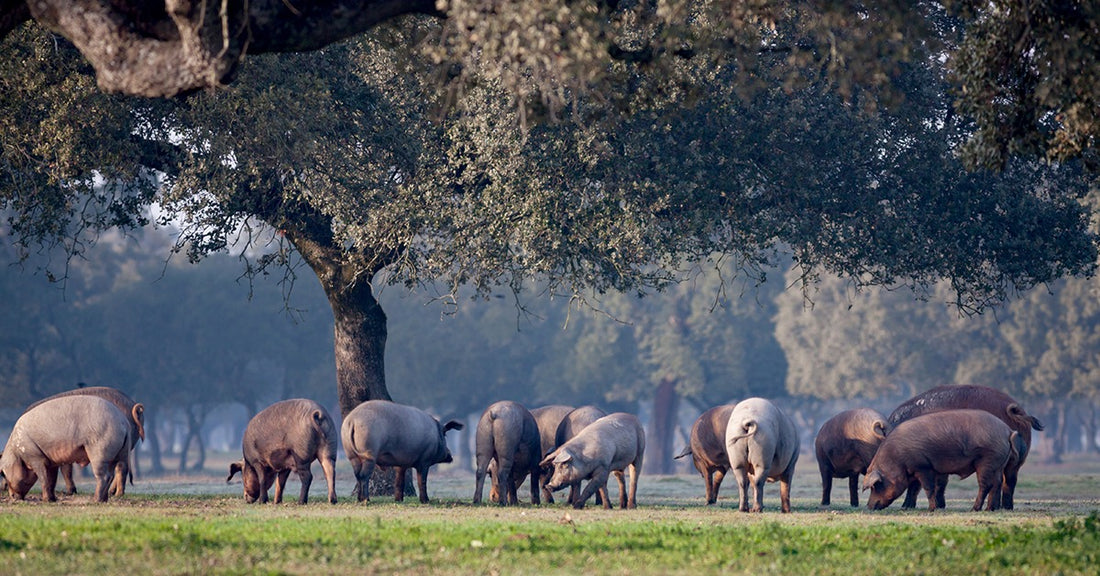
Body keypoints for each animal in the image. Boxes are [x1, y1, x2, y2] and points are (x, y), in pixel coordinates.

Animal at [0, 393, 131, 501]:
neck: (17, 452)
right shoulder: (51, 461)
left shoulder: (35, 457)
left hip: (100, 452)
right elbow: (51, 480)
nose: (12, 496)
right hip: (118, 454)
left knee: (104, 476)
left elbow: (43, 478)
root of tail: (123, 421)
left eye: (3, 473)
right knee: (112, 473)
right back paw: (104, 500)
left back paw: (96, 500)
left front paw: (46, 500)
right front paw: (52, 500)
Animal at [862, 408, 1016, 512]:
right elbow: (929, 488)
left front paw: (931, 509)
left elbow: (929, 488)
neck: (896, 458)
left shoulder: (923, 466)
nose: (869, 506)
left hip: (987, 460)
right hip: (999, 463)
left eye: (877, 485)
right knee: (997, 483)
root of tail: (1007, 430)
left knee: (986, 485)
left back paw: (974, 509)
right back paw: (990, 509)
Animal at [888, 386, 1042, 507]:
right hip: (1015, 461)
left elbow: (917, 483)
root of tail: (1016, 410)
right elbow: (940, 482)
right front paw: (940, 505)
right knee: (1009, 481)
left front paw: (907, 506)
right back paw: (1004, 507)